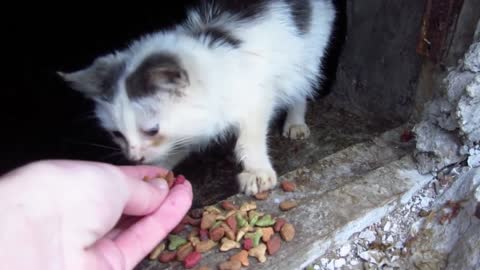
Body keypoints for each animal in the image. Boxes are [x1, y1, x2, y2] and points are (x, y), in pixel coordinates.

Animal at [60, 0, 336, 194]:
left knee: (302, 82)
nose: (133, 157)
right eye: (117, 134)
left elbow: (250, 135)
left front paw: (256, 171)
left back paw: (295, 122)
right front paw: (156, 168)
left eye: (152, 130)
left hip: (310, 48)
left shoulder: (257, 95)